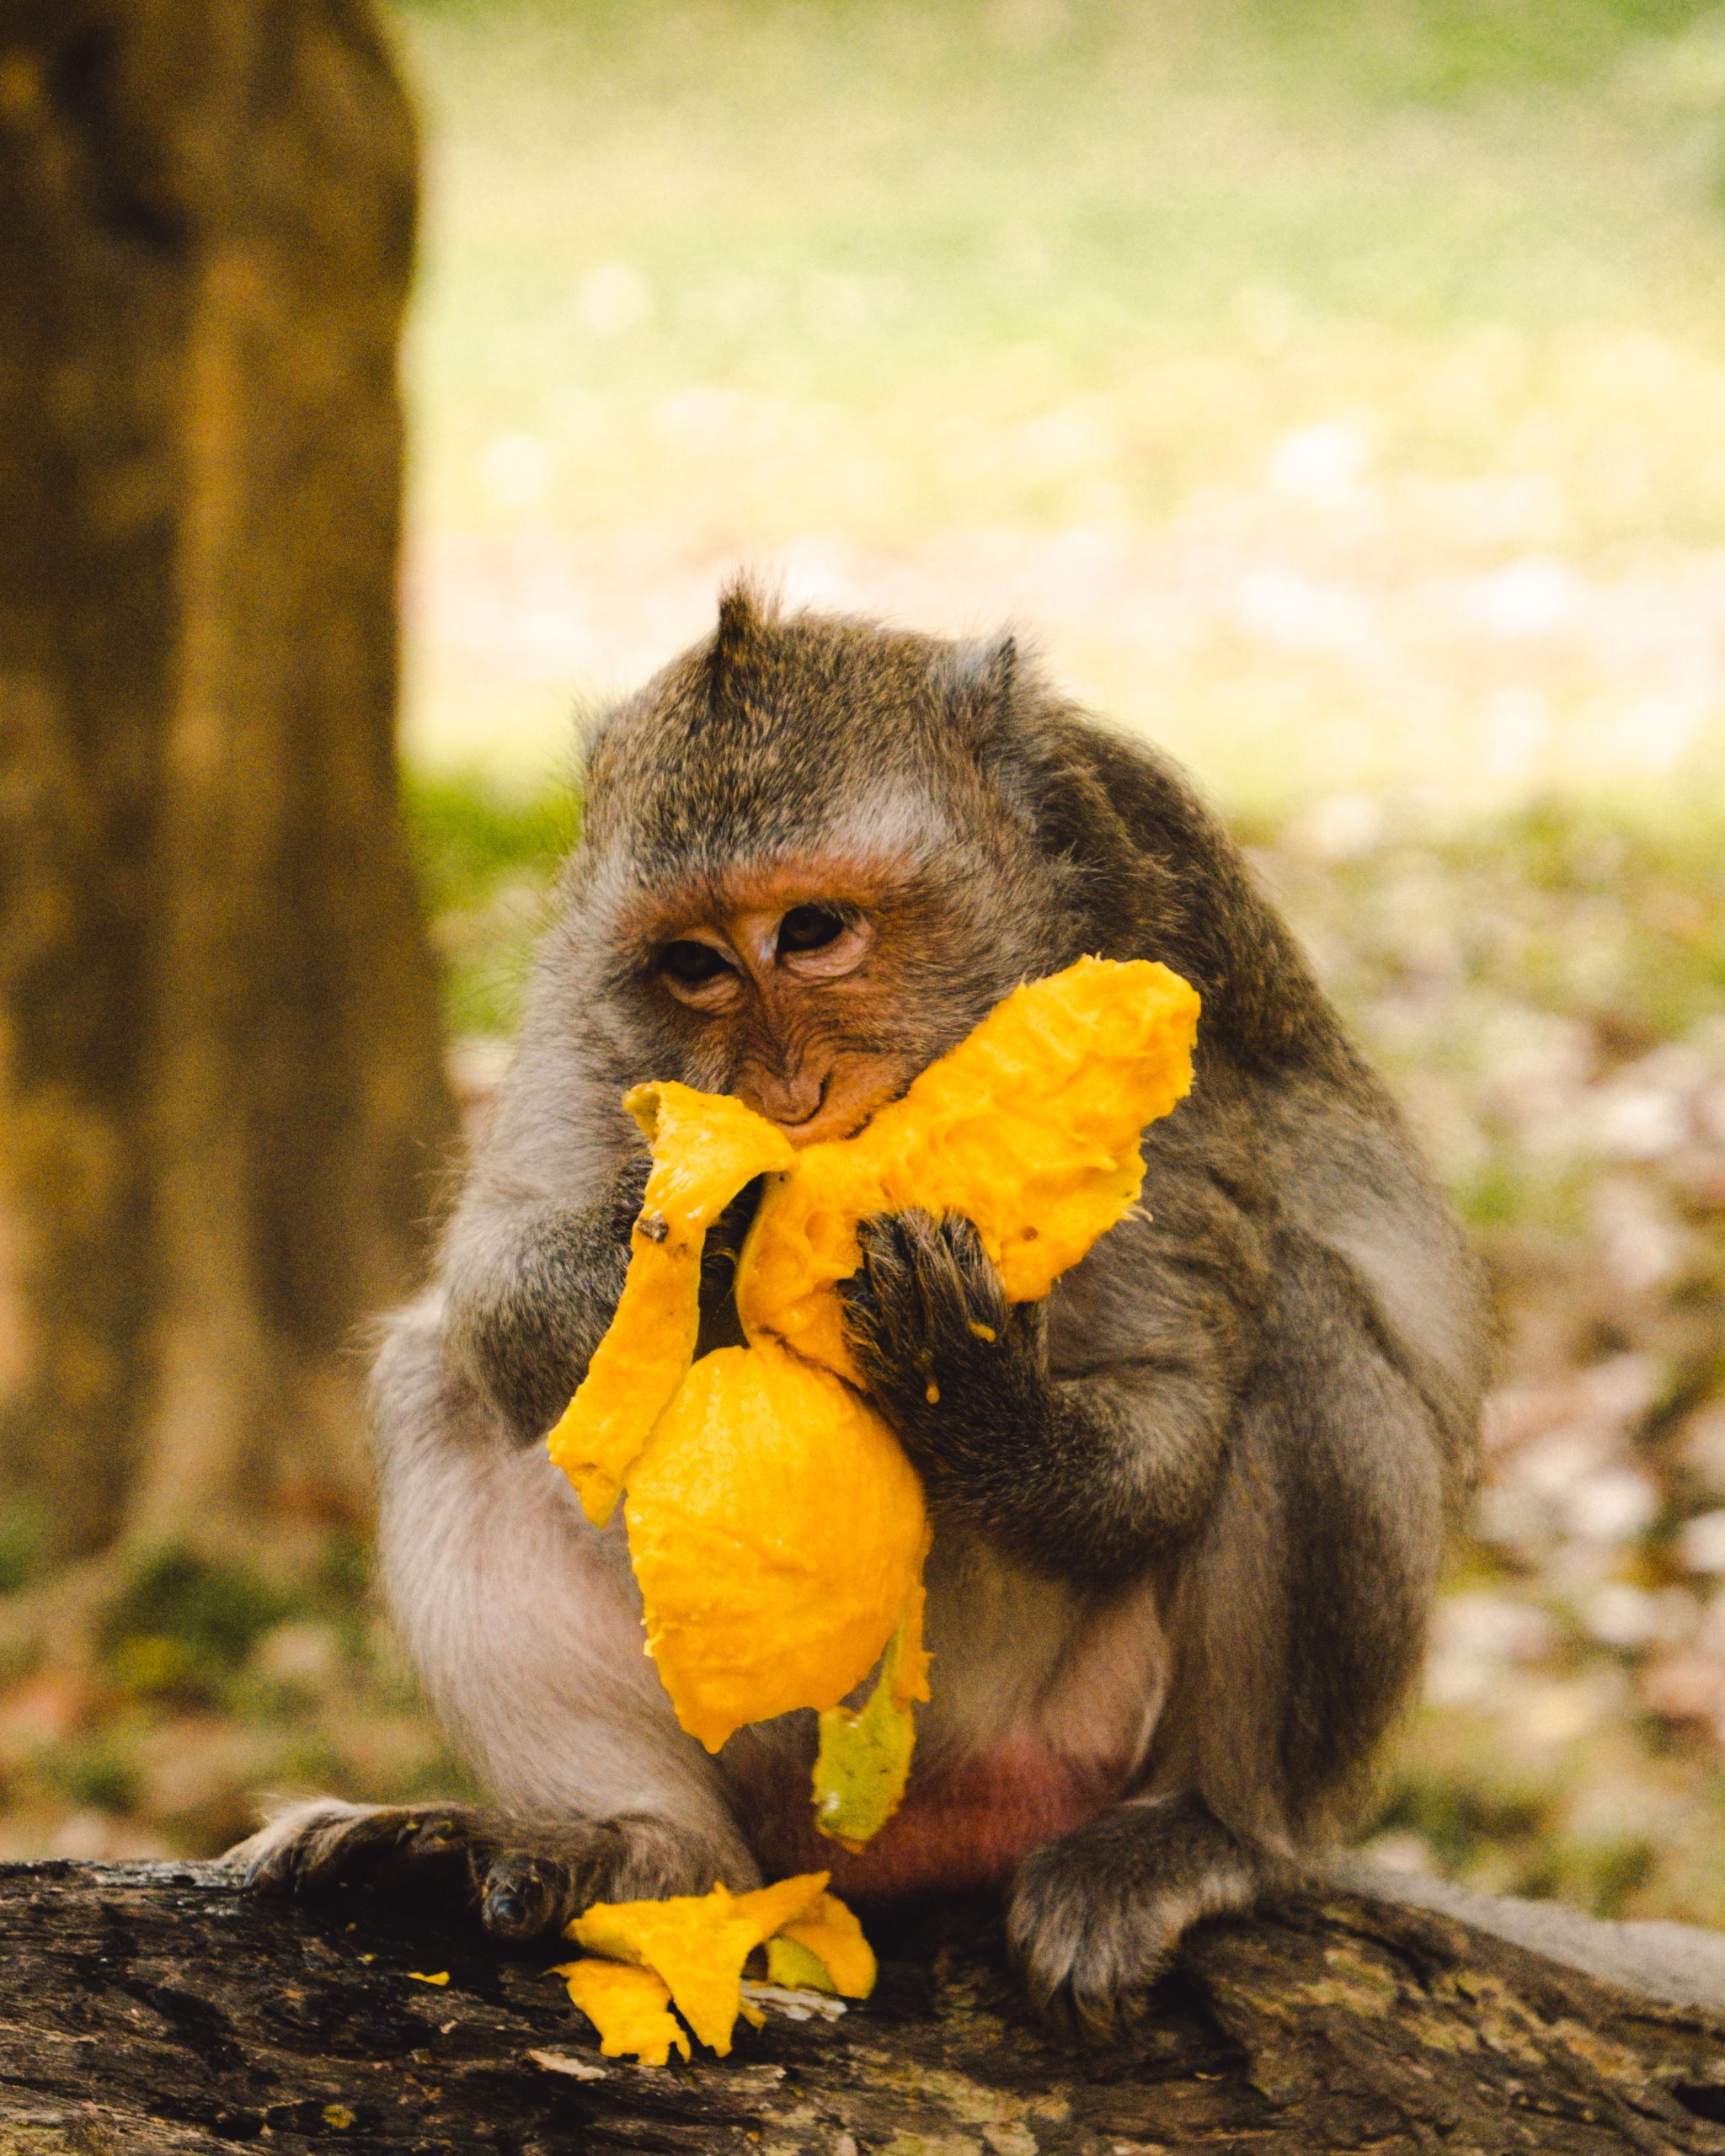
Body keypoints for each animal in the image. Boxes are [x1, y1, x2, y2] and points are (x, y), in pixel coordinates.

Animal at [236, 586, 1492, 2035]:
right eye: (694, 965)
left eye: (815, 933)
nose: (787, 1094)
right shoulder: (584, 1003)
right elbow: (496, 1285)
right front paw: (718, 1258)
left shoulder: (1153, 974)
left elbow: (1172, 1429)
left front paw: (973, 1397)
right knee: (440, 1381)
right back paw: (623, 1846)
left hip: (1076, 1732)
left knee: (1305, 1333)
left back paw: (1205, 1833)